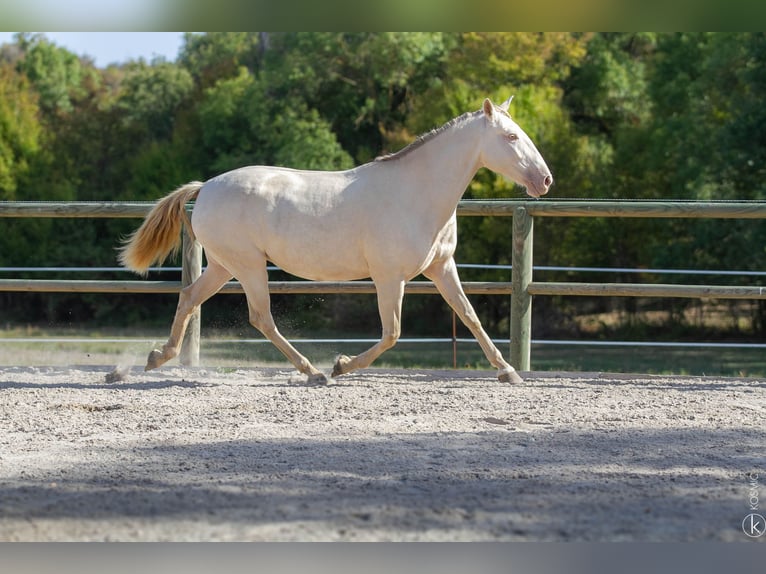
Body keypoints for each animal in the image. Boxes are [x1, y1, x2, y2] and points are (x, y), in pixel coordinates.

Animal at [118, 98, 552, 388]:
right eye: (510, 136)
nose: (545, 180)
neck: (417, 193)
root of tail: (206, 187)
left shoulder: (441, 267)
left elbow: (470, 316)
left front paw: (507, 371)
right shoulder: (389, 277)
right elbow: (392, 332)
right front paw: (341, 364)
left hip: (225, 265)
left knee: (190, 297)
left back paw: (153, 359)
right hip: (247, 266)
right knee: (260, 317)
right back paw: (313, 372)